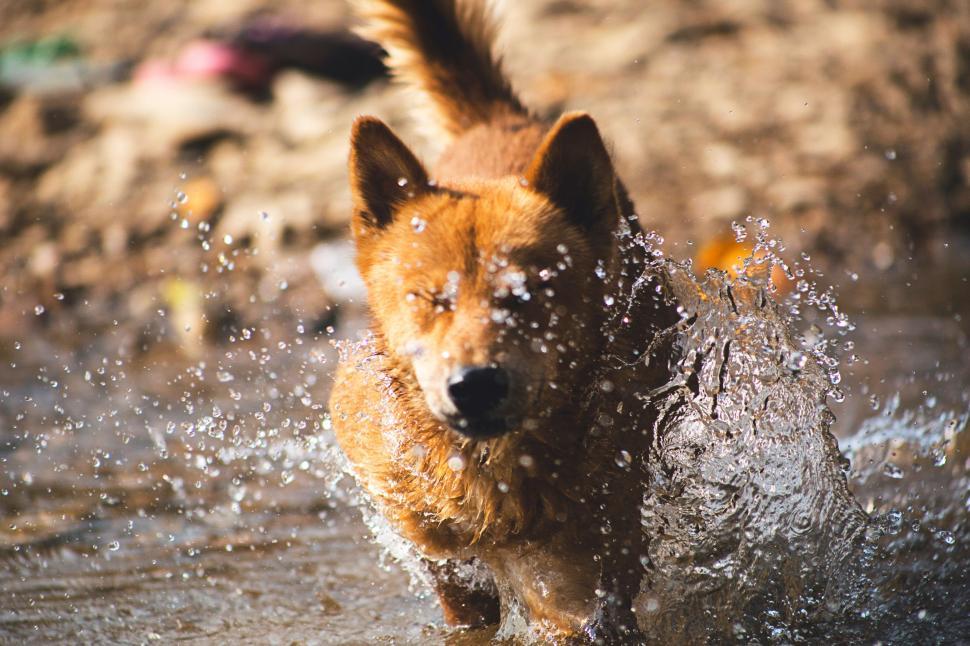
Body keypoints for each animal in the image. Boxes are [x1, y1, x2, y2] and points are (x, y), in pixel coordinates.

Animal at [332, 0, 680, 644]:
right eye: (431, 298)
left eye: (527, 293)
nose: (474, 385)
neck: (494, 477)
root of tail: (502, 122)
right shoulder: (435, 549)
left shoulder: (588, 568)